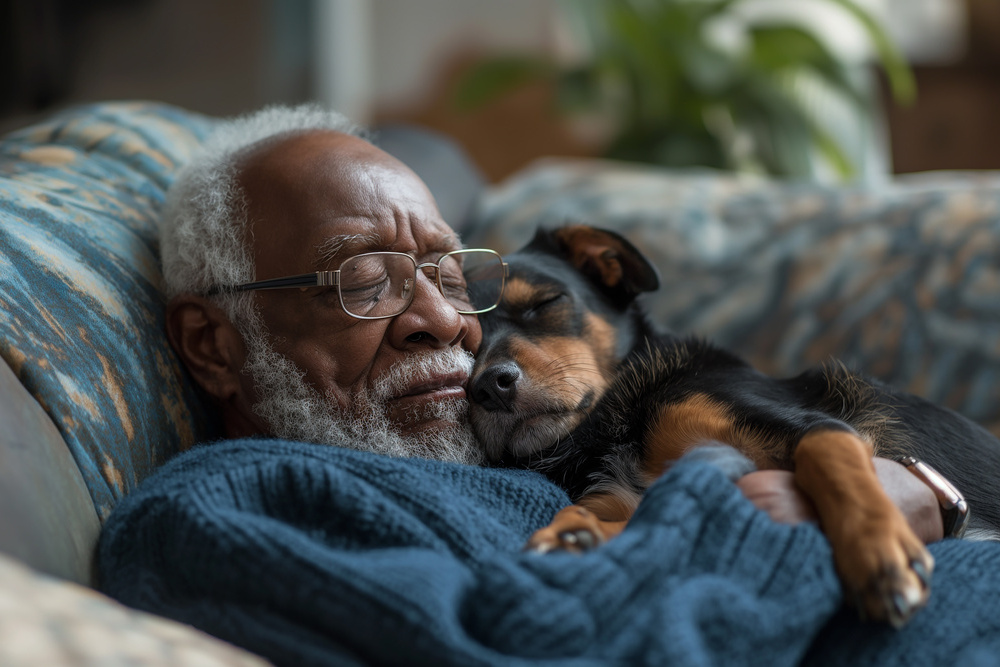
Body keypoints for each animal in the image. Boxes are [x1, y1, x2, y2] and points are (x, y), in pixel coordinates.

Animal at [468, 224, 1000, 628]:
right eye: (465, 344)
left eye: (543, 304)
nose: (488, 386)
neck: (609, 424)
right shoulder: (628, 497)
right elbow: (636, 520)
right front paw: (571, 535)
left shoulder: (817, 425)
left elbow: (830, 464)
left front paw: (879, 553)